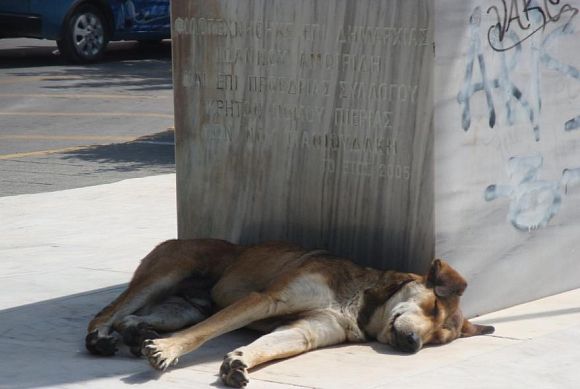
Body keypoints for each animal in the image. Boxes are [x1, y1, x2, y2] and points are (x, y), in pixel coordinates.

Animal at [86, 238, 494, 386]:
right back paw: (101, 339)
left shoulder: (308, 329)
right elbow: (203, 334)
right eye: (432, 306)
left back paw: (137, 334)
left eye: (437, 340)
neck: (360, 303)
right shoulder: (265, 300)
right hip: (166, 272)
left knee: (132, 318)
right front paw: (169, 350)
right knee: (108, 313)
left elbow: (271, 345)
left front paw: (239, 360)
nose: (412, 344)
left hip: (185, 306)